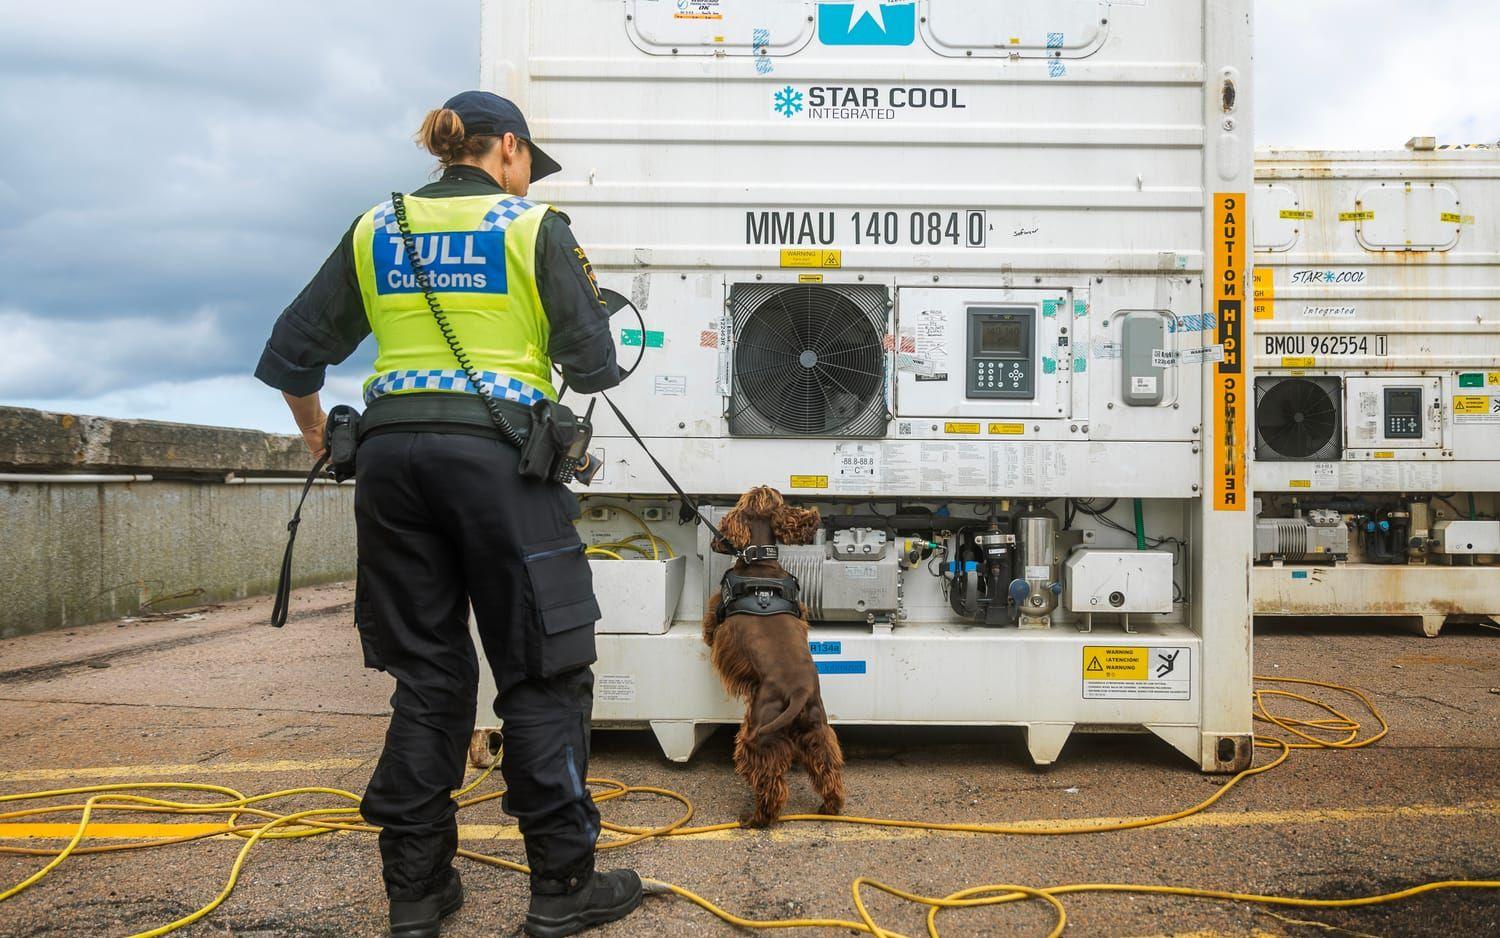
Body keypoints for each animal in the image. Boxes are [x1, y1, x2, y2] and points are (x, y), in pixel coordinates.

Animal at [702, 486, 845, 827]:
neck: (759, 563)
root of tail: (799, 692)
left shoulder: (716, 614)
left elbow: (709, 628)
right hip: (815, 728)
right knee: (827, 767)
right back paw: (829, 807)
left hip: (758, 733)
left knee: (769, 781)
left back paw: (756, 818)